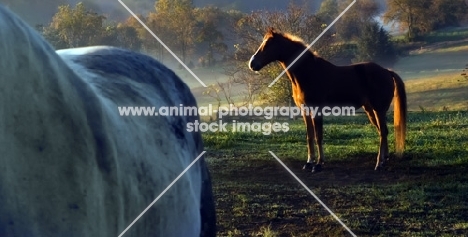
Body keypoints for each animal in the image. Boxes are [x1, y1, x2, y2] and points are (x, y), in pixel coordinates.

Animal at [249, 28, 406, 172]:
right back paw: (384, 160)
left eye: (268, 44)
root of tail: (387, 71)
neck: (308, 73)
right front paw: (309, 162)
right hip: (370, 110)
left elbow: (318, 136)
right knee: (382, 132)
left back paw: (379, 163)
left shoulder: (317, 111)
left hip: (378, 110)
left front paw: (318, 164)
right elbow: (310, 136)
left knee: (383, 132)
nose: (252, 64)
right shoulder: (305, 112)